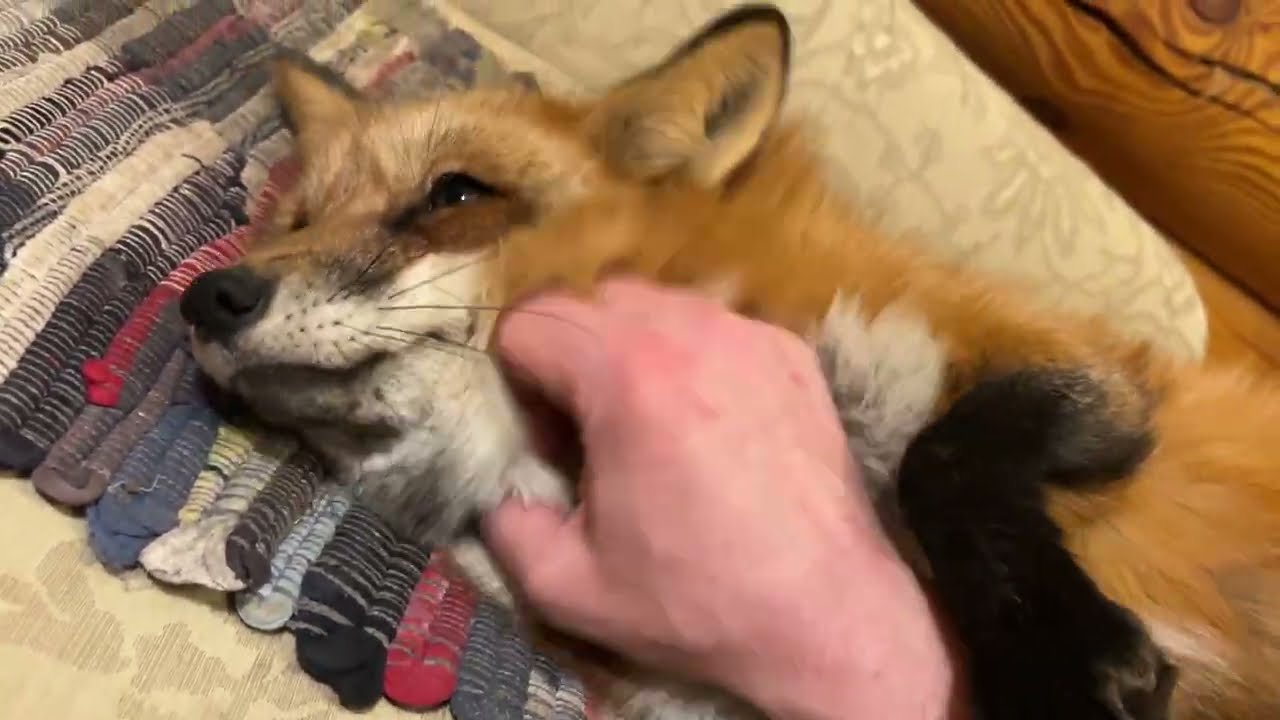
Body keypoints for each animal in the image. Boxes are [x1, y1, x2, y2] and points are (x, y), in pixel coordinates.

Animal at [178, 4, 1280, 720]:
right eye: (299, 221)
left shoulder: (1094, 378)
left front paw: (1065, 660)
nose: (207, 298)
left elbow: (947, 453)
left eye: (453, 197)